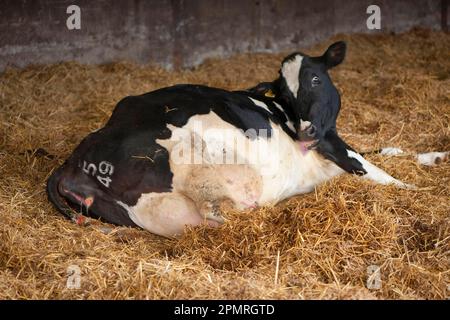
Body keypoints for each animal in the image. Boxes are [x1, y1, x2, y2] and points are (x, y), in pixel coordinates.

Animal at [44, 42, 432, 238]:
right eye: (285, 92)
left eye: (316, 79)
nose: (306, 131)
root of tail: (72, 161)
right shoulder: (337, 146)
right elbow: (383, 174)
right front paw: (419, 190)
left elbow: (389, 150)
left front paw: (433, 157)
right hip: (189, 159)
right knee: (219, 209)